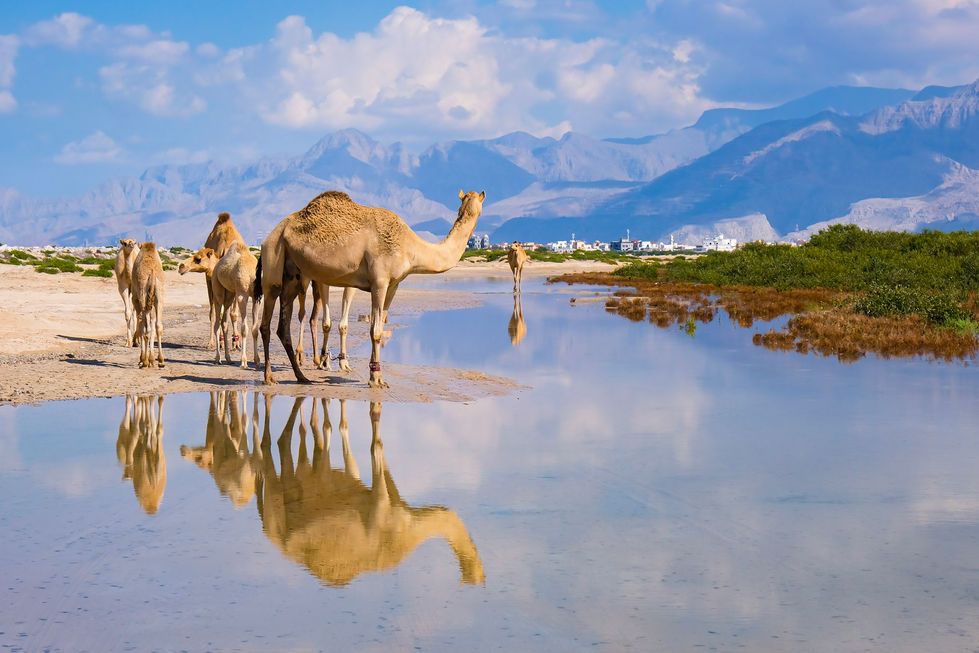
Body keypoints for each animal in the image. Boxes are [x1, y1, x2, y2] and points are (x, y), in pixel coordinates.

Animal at [179, 212, 245, 348]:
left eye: (198, 259)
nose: (181, 266)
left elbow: (233, 313)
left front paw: (235, 343)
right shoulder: (210, 280)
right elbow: (215, 313)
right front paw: (216, 342)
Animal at [256, 189, 484, 387]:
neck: (410, 247)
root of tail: (269, 236)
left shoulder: (393, 285)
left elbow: (381, 326)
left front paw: (378, 376)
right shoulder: (379, 281)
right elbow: (374, 330)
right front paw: (375, 378)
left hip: (292, 274)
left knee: (283, 327)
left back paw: (301, 376)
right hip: (274, 258)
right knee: (266, 321)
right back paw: (269, 377)